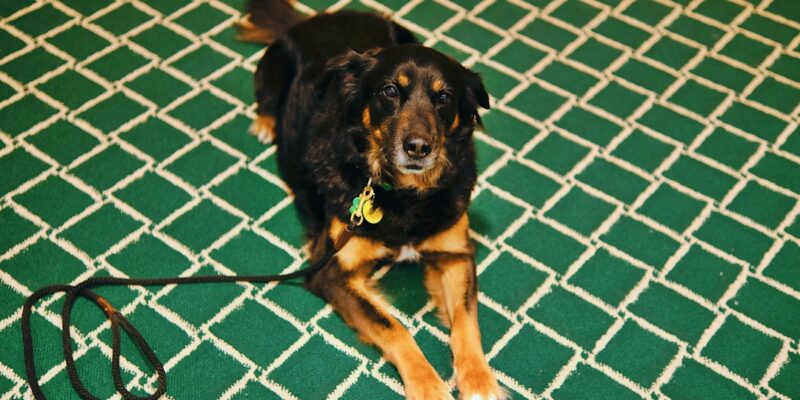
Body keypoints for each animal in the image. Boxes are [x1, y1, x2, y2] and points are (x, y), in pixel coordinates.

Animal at [238, 1, 504, 398]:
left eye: (443, 98)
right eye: (390, 91)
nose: (418, 148)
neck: (403, 195)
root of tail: (318, 17)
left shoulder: (456, 253)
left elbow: (467, 321)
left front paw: (479, 379)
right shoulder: (331, 270)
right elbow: (393, 327)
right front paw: (429, 386)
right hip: (273, 66)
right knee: (267, 99)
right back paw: (267, 124)